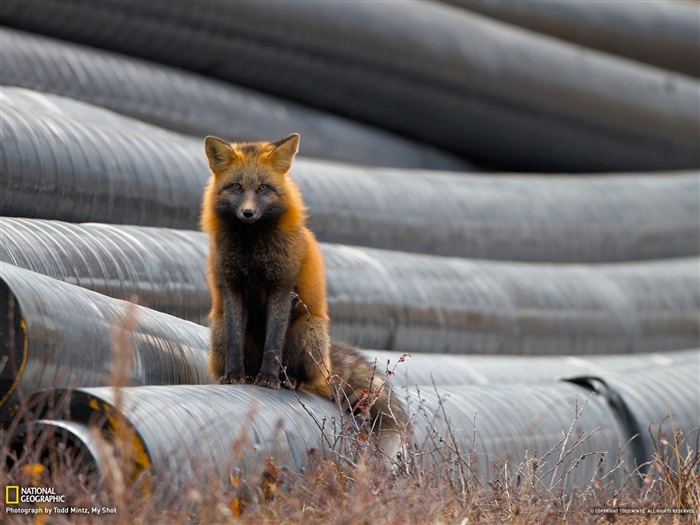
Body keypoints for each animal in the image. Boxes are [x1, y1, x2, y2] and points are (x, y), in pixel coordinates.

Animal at [200, 133, 408, 464]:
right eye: (236, 187)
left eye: (263, 188)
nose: (247, 213)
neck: (251, 247)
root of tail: (326, 365)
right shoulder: (232, 286)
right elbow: (235, 339)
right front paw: (235, 375)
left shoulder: (282, 286)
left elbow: (273, 342)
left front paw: (269, 379)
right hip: (218, 328)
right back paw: (248, 374)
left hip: (306, 330)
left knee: (310, 380)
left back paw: (290, 380)